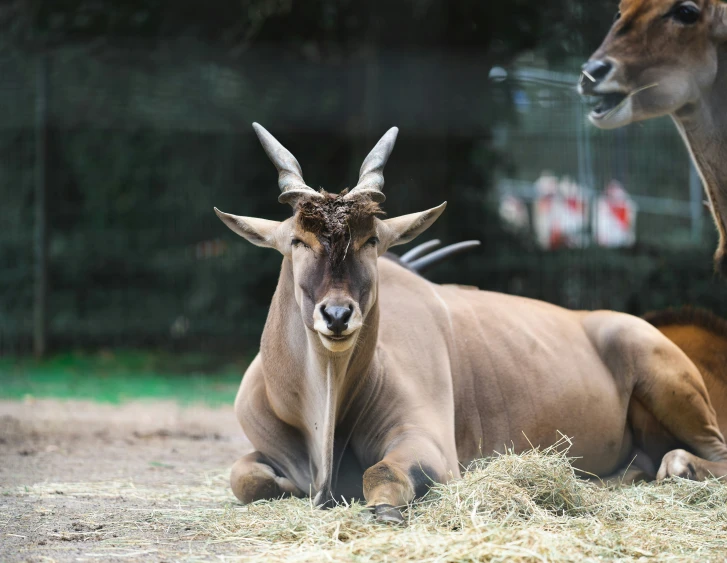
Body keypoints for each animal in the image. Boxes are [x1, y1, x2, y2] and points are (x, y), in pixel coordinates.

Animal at [216, 123, 727, 524]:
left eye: (371, 240)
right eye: (297, 241)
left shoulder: (430, 445)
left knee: (710, 453)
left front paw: (385, 510)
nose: (337, 315)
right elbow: (245, 477)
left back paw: (680, 466)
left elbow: (382, 470)